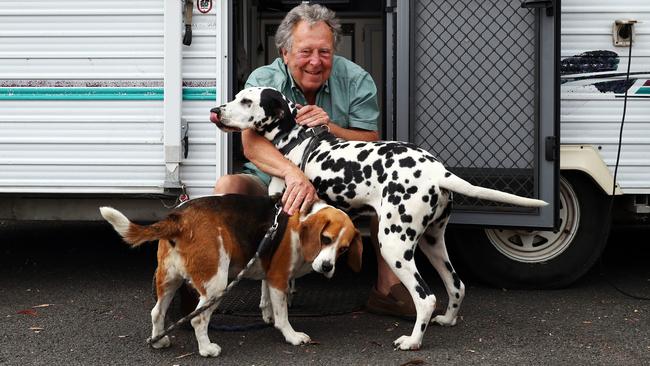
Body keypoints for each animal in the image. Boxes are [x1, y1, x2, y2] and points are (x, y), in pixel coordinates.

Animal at [100, 194, 360, 358]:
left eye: (344, 249)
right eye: (325, 239)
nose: (327, 267)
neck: (303, 218)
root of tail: (180, 220)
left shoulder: (267, 272)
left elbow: (265, 300)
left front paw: (267, 316)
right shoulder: (278, 279)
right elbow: (283, 314)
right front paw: (291, 335)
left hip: (168, 279)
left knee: (157, 312)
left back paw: (158, 341)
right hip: (216, 283)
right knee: (198, 319)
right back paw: (207, 349)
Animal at [210, 86, 544, 352]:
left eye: (246, 101)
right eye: (237, 96)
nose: (216, 110)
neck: (295, 141)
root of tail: (438, 170)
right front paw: (271, 308)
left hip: (393, 244)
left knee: (426, 298)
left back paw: (412, 341)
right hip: (432, 243)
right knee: (456, 285)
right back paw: (448, 319)